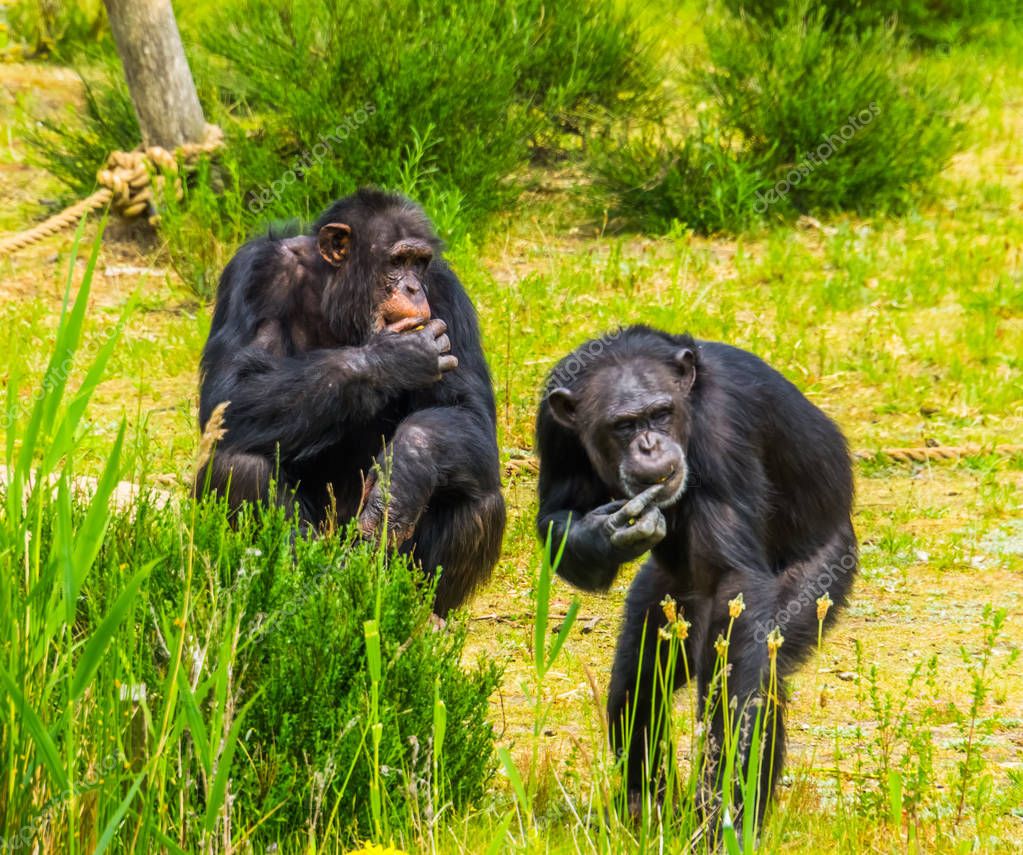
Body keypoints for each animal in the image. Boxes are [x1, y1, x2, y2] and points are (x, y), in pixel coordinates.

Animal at [197, 187, 505, 613]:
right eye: (397, 262)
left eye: (420, 264)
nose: (414, 288)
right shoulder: (255, 273)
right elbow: (229, 394)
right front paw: (395, 358)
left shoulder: (445, 289)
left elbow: (467, 410)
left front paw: (407, 467)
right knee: (238, 465)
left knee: (477, 493)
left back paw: (420, 616)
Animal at [536, 325, 855, 822]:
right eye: (624, 425)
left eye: (661, 414)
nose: (649, 444)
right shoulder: (553, 430)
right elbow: (556, 512)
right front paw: (609, 531)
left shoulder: (721, 428)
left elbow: (734, 585)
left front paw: (723, 798)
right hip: (668, 599)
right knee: (640, 683)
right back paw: (645, 807)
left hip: (826, 567)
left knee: (762, 665)